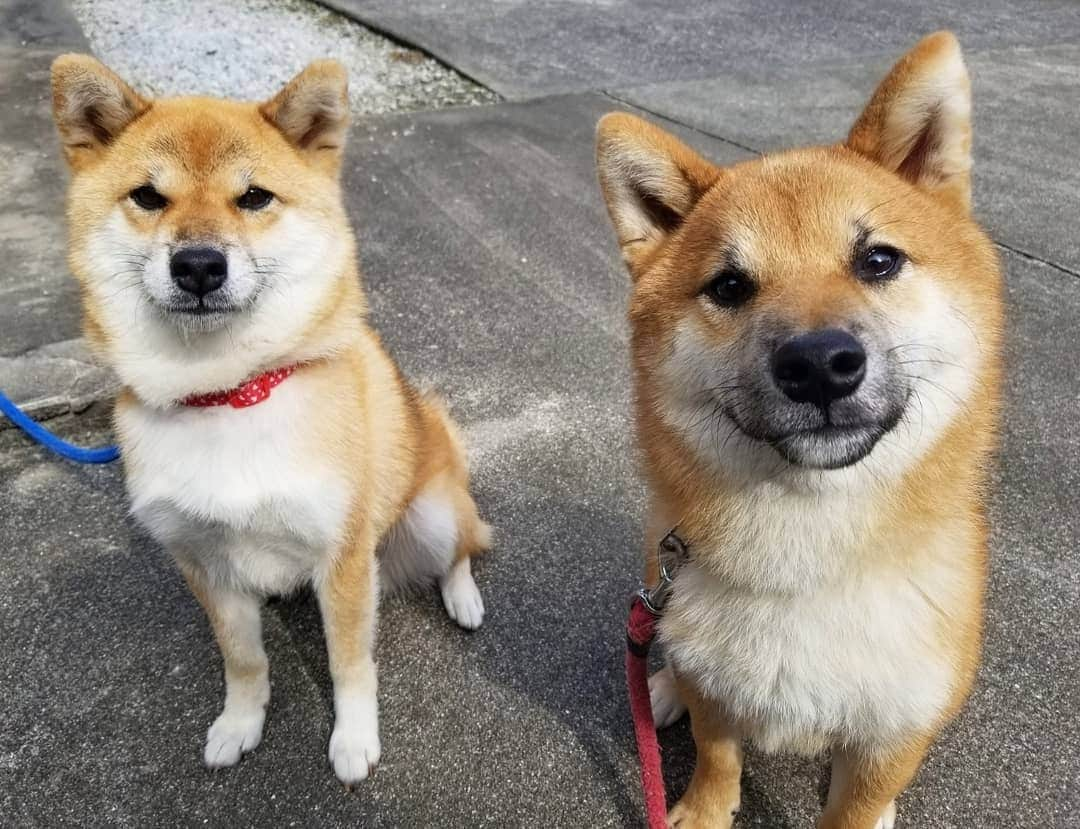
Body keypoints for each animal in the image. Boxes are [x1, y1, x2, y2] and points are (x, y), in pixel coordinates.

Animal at [50, 55, 490, 781]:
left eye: (254, 197)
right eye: (148, 197)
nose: (199, 264)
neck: (228, 393)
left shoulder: (343, 559)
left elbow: (349, 664)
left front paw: (354, 739)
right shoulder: (205, 564)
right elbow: (244, 659)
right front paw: (240, 722)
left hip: (430, 512)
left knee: (462, 551)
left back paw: (463, 598)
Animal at [596, 32, 997, 829]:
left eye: (878, 259)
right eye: (729, 286)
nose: (817, 366)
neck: (810, 553)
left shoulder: (895, 732)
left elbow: (857, 804)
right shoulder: (716, 683)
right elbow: (718, 755)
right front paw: (702, 811)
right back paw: (658, 686)